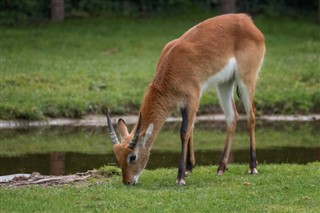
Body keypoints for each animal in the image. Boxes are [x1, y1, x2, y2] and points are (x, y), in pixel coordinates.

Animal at [105, 14, 264, 186]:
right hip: (224, 84)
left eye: (132, 156)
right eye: (117, 156)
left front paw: (180, 176)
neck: (172, 66)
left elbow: (184, 132)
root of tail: (245, 19)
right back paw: (221, 168)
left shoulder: (193, 98)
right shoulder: (184, 104)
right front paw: (189, 168)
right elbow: (191, 128)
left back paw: (252, 167)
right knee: (232, 117)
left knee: (251, 116)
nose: (127, 181)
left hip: (246, 79)